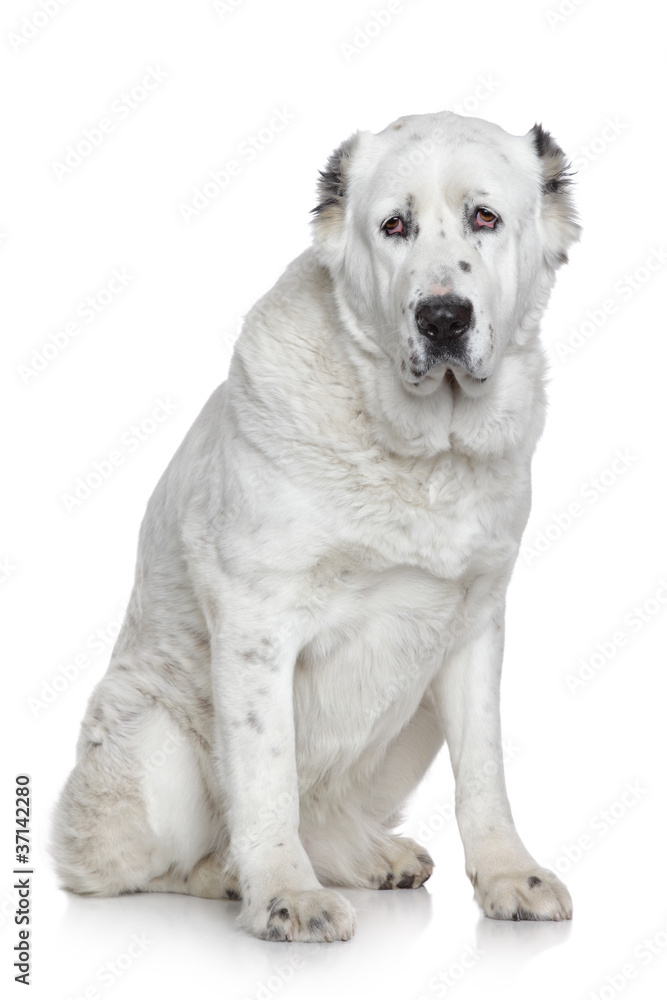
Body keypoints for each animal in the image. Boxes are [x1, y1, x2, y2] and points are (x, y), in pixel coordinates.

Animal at [53, 113, 580, 940]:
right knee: (143, 867)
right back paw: (230, 876)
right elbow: (266, 776)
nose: (441, 316)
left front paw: (508, 876)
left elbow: (484, 772)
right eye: (393, 226)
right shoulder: (257, 623)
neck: (422, 453)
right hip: (153, 745)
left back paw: (369, 856)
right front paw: (284, 894)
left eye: (485, 218)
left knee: (328, 813)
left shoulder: (474, 627)